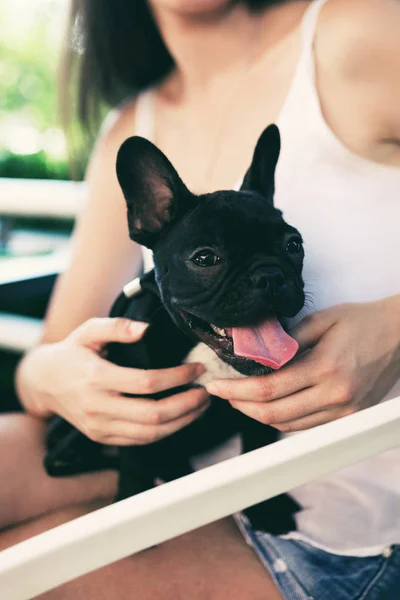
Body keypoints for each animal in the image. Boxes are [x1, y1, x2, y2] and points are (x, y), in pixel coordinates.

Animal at [43, 125, 304, 536]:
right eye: (205, 258)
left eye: (294, 245)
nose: (270, 276)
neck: (201, 349)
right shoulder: (131, 407)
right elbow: (133, 457)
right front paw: (131, 504)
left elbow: (260, 445)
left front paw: (269, 508)